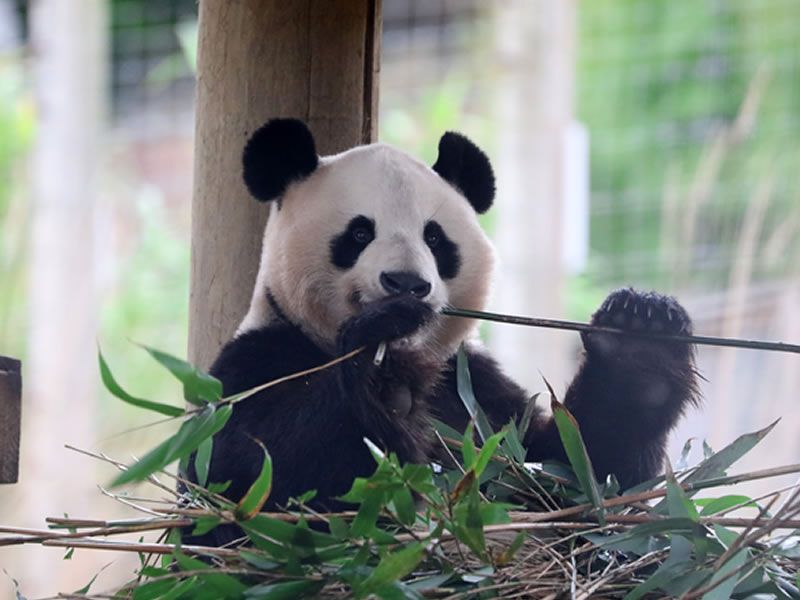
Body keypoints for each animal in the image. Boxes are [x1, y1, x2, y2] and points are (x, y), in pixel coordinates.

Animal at [184, 119, 696, 548]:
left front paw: (640, 336)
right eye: (358, 234)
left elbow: (580, 475)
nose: (406, 284)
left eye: (434, 238)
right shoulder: (253, 364)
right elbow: (251, 480)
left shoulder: (476, 394)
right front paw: (382, 381)